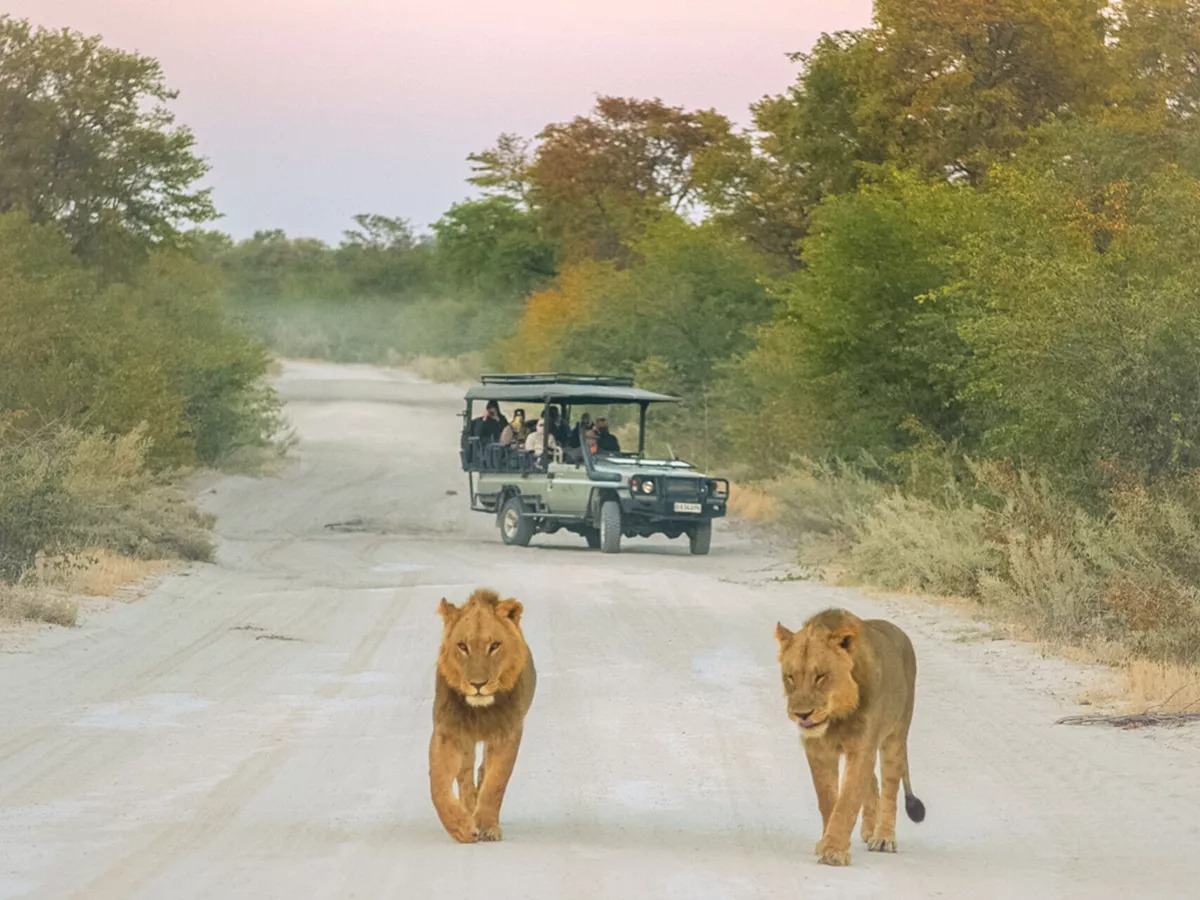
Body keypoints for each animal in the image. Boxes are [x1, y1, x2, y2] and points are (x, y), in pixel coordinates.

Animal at [430, 588, 536, 843]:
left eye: (495, 646)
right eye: (462, 646)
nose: (478, 684)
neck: (481, 710)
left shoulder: (507, 733)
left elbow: (495, 783)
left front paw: (487, 826)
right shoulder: (448, 731)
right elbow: (438, 783)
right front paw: (460, 827)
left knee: (482, 770)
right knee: (465, 777)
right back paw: (469, 810)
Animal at [774, 608, 925, 867]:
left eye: (821, 676)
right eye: (791, 677)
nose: (802, 714)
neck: (837, 716)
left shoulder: (863, 746)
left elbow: (847, 801)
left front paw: (834, 852)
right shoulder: (818, 750)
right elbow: (828, 799)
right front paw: (827, 843)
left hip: (896, 735)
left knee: (889, 786)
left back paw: (883, 838)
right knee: (872, 782)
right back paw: (868, 830)